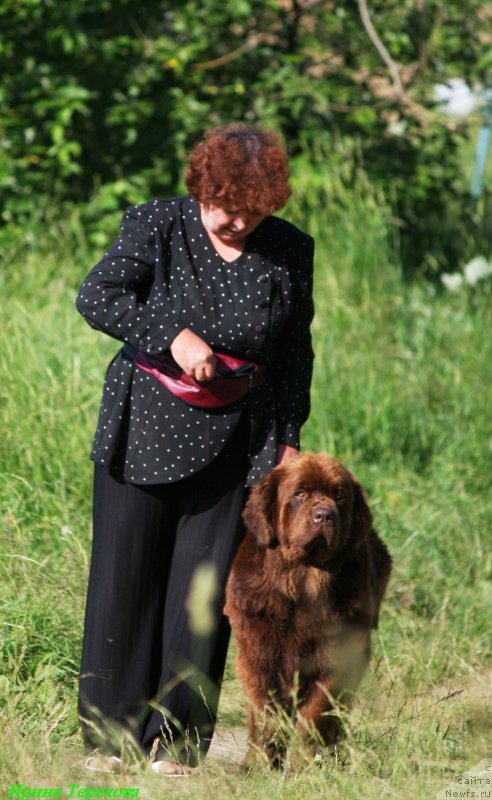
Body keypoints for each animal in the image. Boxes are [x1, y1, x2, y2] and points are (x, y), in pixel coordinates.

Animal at [224, 454, 392, 764]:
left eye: (339, 496)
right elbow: (266, 714)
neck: (302, 582)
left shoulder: (338, 658)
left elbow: (315, 714)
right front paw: (260, 764)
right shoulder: (257, 653)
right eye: (299, 493)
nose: (324, 515)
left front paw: (304, 764)